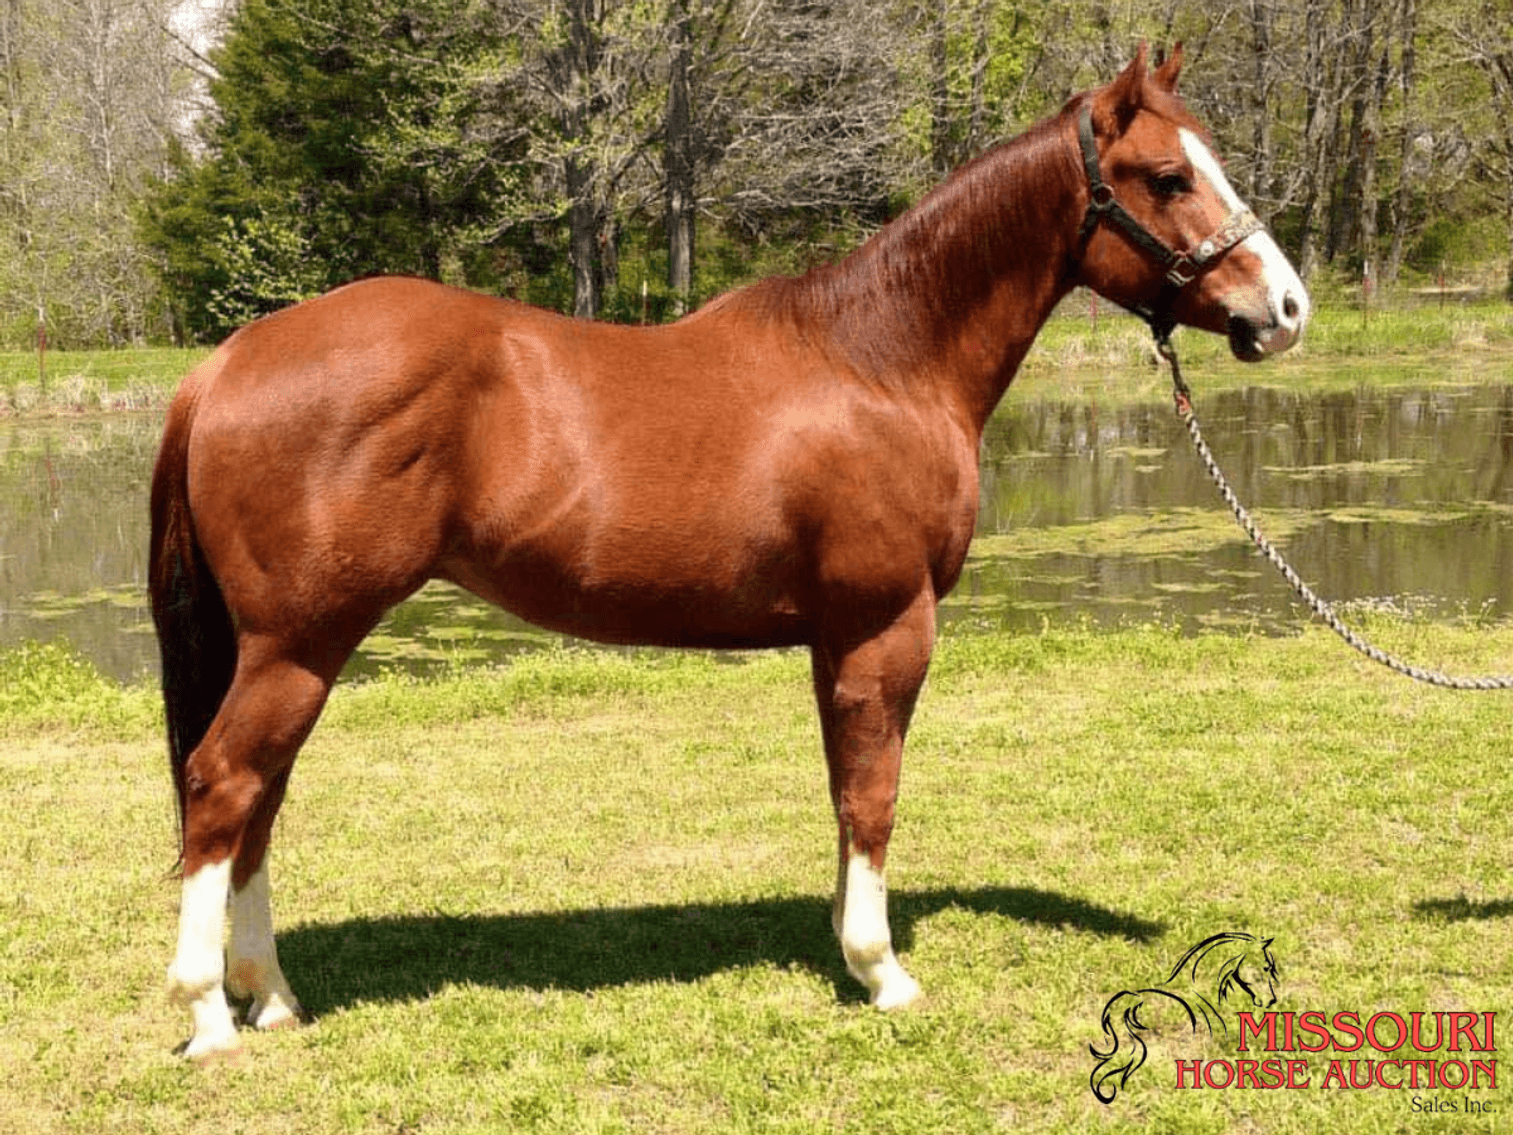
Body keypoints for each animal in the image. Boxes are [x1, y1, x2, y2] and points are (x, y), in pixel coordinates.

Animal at [150, 44, 1308, 1059]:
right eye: (1167, 176)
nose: (1285, 309)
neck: (882, 358)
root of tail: (223, 364)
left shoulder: (834, 640)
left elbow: (844, 790)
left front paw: (846, 946)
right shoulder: (887, 626)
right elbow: (874, 793)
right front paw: (881, 971)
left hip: (293, 651)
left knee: (257, 801)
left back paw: (273, 997)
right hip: (300, 643)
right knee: (221, 785)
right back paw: (210, 1012)